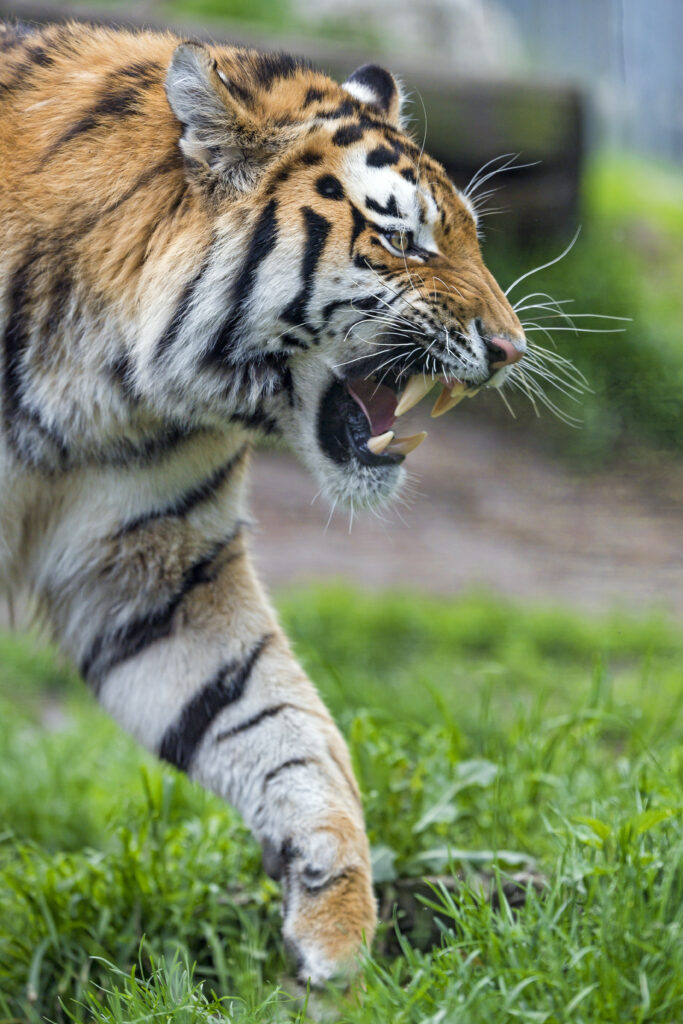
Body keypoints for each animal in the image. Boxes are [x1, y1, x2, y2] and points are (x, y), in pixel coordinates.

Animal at [0, 20, 526, 985]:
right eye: (404, 241)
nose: (511, 349)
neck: (97, 391)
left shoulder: (155, 571)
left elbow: (277, 722)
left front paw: (335, 917)